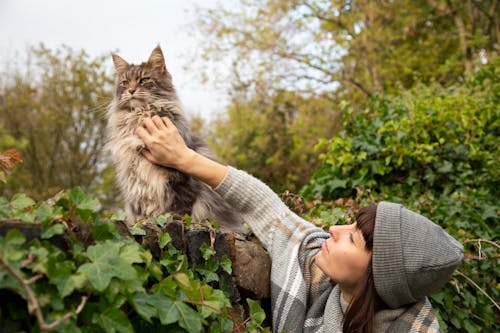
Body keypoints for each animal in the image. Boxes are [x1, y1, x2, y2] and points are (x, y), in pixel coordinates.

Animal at [106, 45, 244, 232]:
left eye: (143, 80)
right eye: (125, 83)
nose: (131, 90)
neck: (141, 115)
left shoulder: (180, 180)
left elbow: (180, 208)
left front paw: (172, 221)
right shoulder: (135, 179)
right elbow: (143, 207)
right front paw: (143, 222)